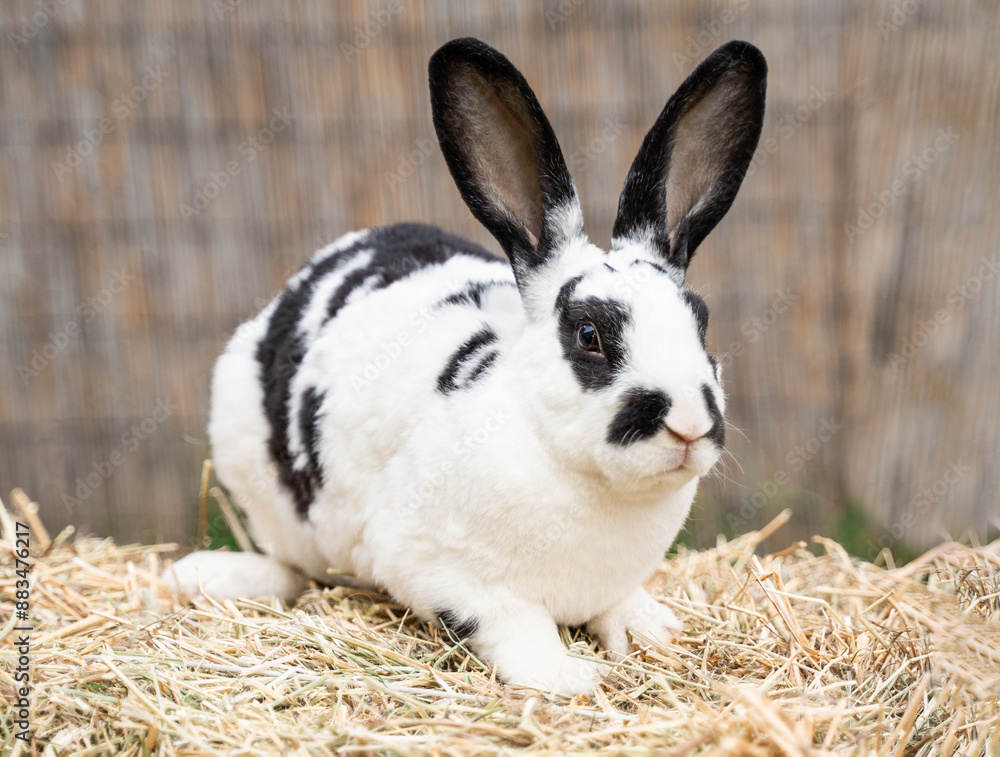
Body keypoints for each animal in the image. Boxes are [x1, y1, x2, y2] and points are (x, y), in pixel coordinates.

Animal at [166, 37, 766, 696]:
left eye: (701, 321)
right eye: (589, 335)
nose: (688, 425)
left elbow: (618, 603)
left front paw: (655, 635)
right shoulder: (443, 572)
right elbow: (515, 625)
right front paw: (567, 677)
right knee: (290, 565)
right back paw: (202, 576)